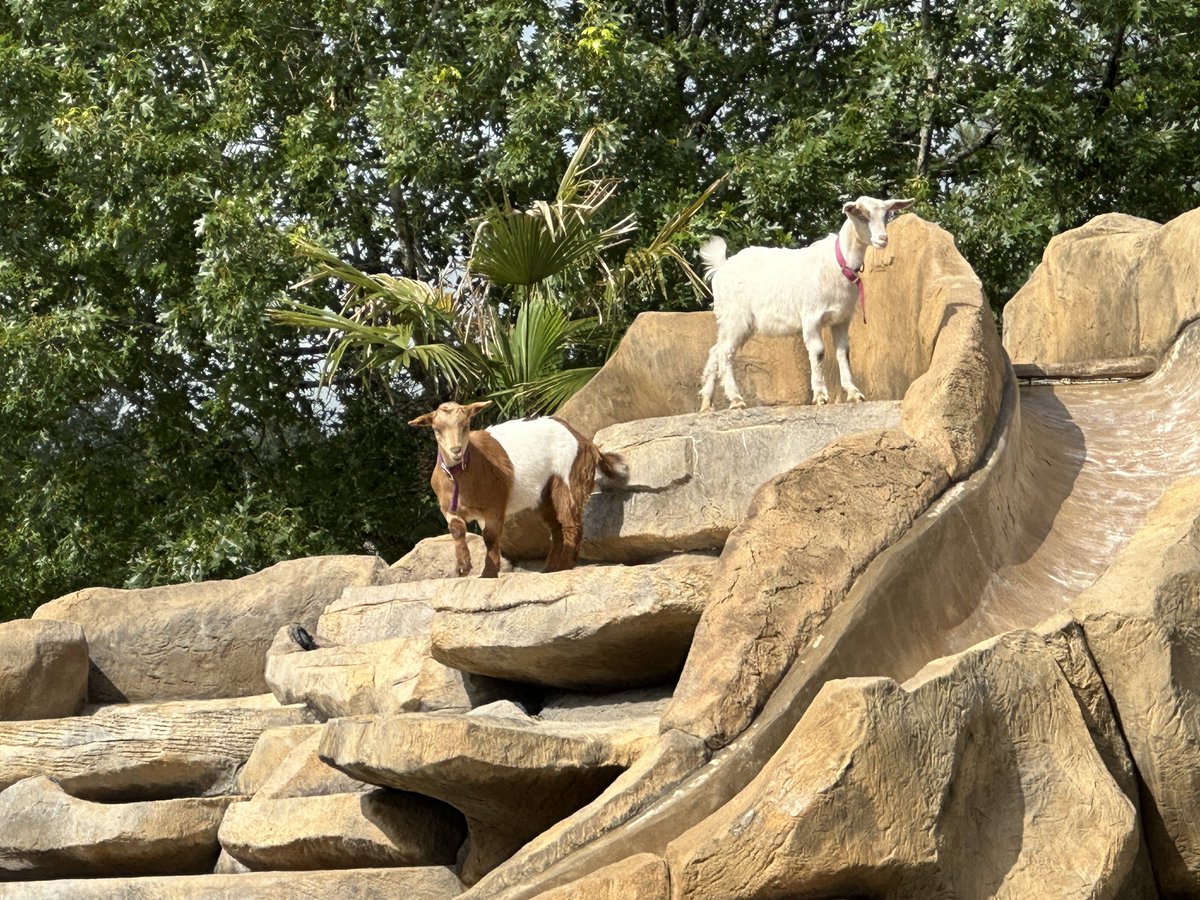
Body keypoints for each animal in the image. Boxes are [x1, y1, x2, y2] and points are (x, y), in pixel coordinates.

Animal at [408, 401, 628, 578]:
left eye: (466, 425)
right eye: (437, 430)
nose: (455, 450)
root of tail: (586, 442)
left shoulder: (495, 502)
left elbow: (490, 536)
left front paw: (488, 573)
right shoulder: (448, 508)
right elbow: (457, 530)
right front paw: (463, 568)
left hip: (569, 475)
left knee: (570, 522)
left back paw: (565, 565)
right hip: (544, 494)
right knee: (556, 529)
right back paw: (550, 568)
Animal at [698, 196, 915, 411]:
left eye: (886, 214)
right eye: (861, 215)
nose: (883, 239)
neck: (838, 263)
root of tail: (721, 267)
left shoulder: (842, 320)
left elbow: (843, 353)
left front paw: (854, 393)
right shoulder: (811, 317)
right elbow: (818, 352)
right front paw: (820, 396)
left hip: (737, 321)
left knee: (715, 350)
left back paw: (707, 404)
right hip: (735, 316)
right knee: (725, 352)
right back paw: (736, 399)